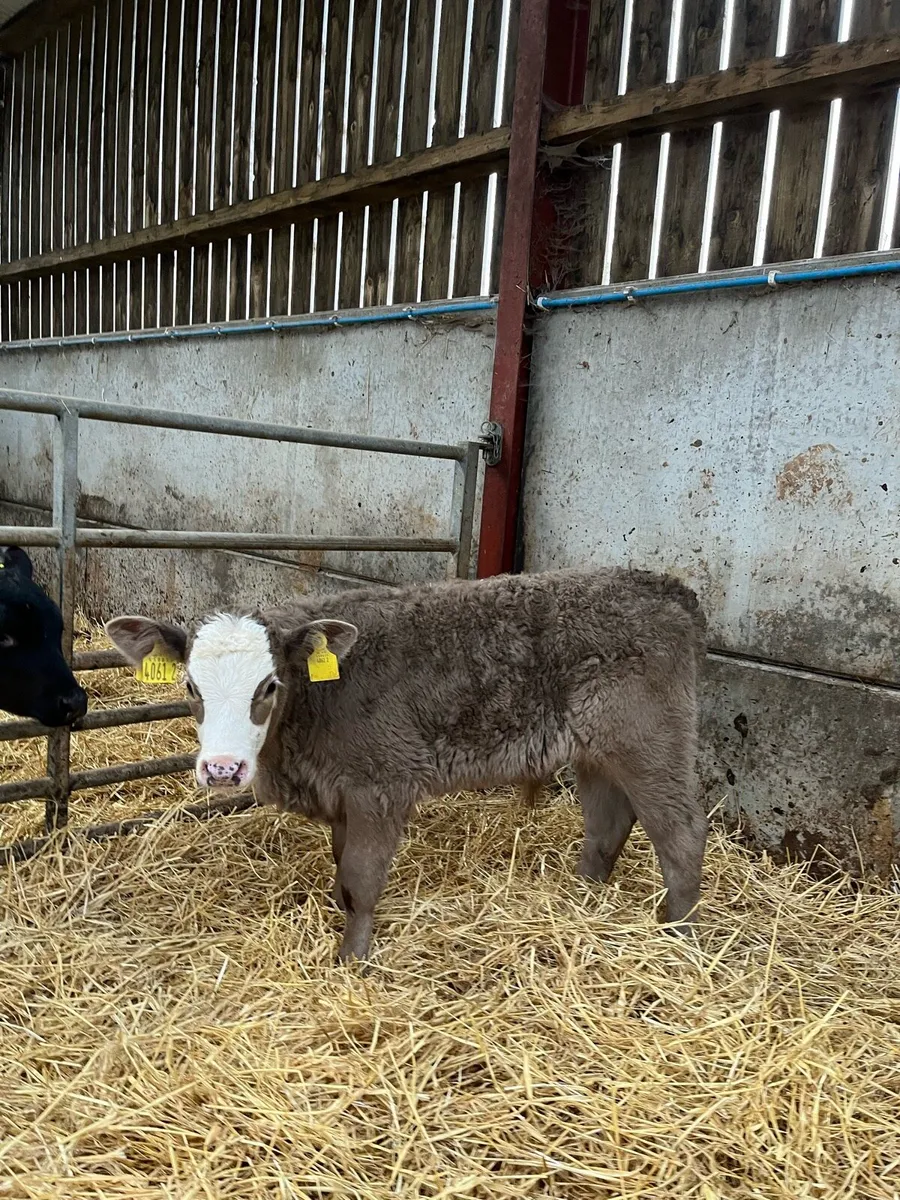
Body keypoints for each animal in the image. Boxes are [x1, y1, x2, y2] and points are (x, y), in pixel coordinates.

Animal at [106, 568, 709, 963]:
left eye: (269, 685)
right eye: (190, 686)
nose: (223, 769)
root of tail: (663, 586)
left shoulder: (380, 786)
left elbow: (359, 878)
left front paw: (353, 958)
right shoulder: (342, 792)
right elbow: (341, 869)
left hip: (651, 741)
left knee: (681, 833)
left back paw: (678, 934)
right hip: (596, 751)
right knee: (607, 825)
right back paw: (579, 901)